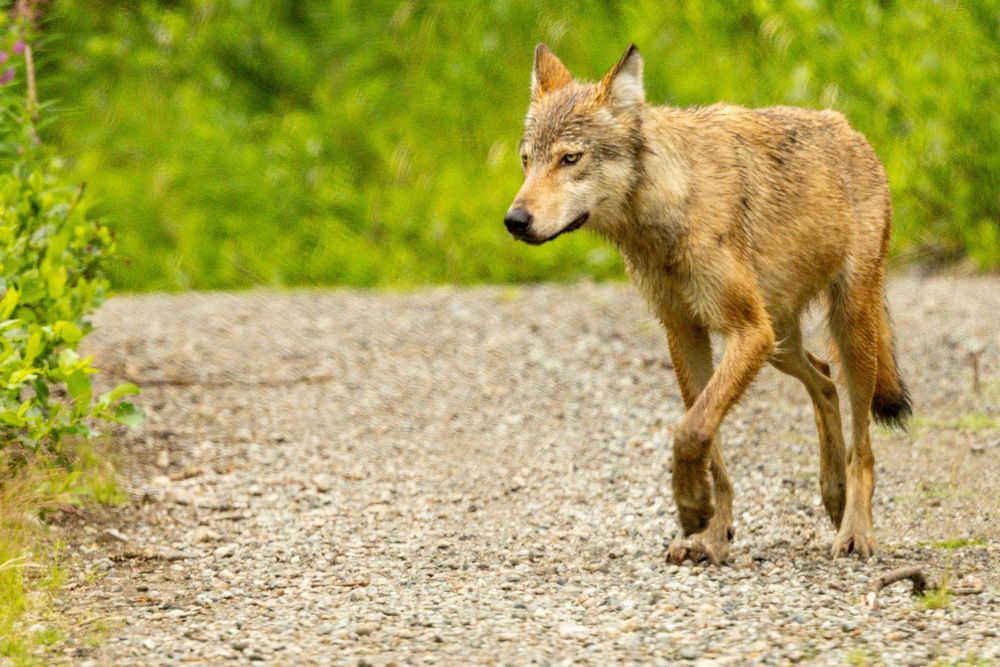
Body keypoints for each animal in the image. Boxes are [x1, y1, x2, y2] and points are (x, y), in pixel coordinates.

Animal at [504, 44, 911, 564]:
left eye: (569, 158)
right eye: (526, 161)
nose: (515, 220)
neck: (667, 211)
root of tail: (852, 130)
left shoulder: (746, 332)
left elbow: (691, 431)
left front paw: (693, 508)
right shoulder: (686, 333)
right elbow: (707, 441)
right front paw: (712, 532)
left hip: (845, 327)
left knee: (863, 444)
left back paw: (855, 529)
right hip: (780, 344)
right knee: (822, 380)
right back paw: (833, 493)